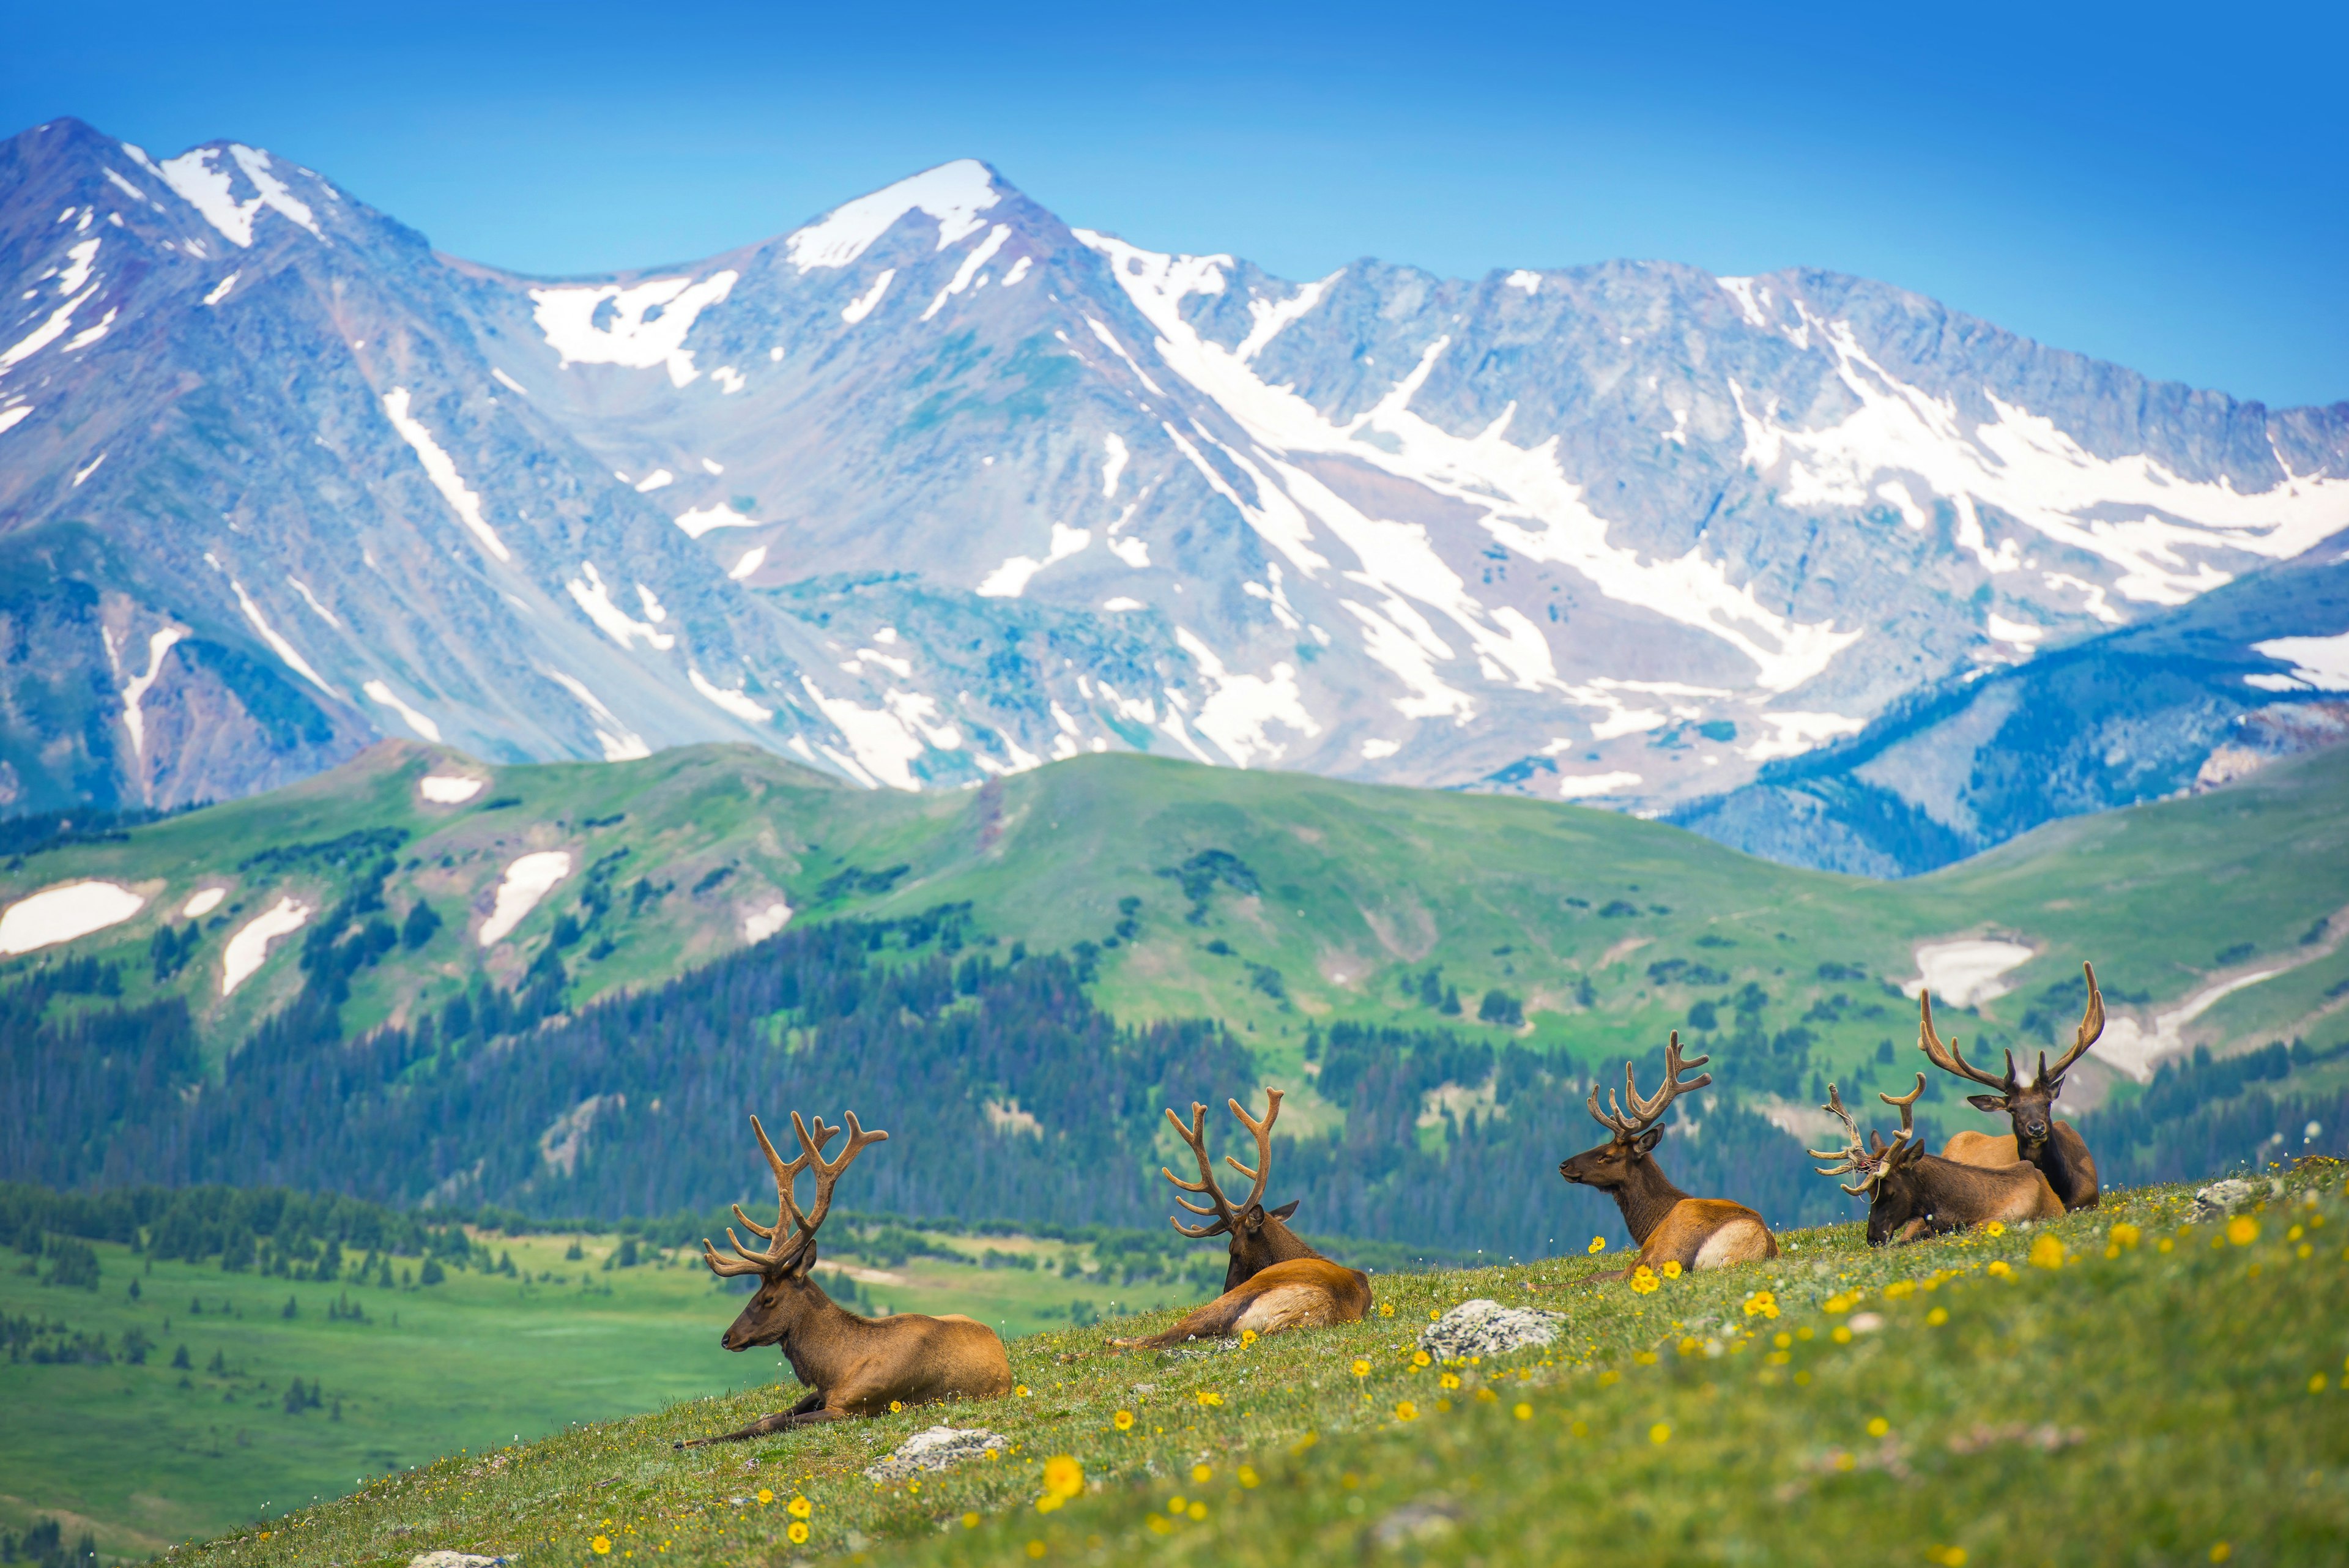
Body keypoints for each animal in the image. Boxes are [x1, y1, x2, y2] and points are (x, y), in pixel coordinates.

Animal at [676, 1105, 1014, 1448]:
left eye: (768, 1298)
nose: (727, 1338)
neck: (837, 1368)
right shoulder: (821, 1394)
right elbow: (766, 1418)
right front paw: (686, 1442)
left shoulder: (851, 1407)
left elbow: (772, 1423)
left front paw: (686, 1443)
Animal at [1108, 1090, 1371, 1354]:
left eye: (1233, 1250)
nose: (1226, 1288)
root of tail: (1303, 1315)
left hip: (1233, 1299)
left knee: (1160, 1339)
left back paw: (1110, 1343)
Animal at [1559, 1034, 1776, 1279]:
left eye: (1606, 1155)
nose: (1564, 1165)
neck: (1651, 1224)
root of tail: (1758, 1246)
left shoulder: (1644, 1255)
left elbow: (1594, 1277)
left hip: (1667, 1250)